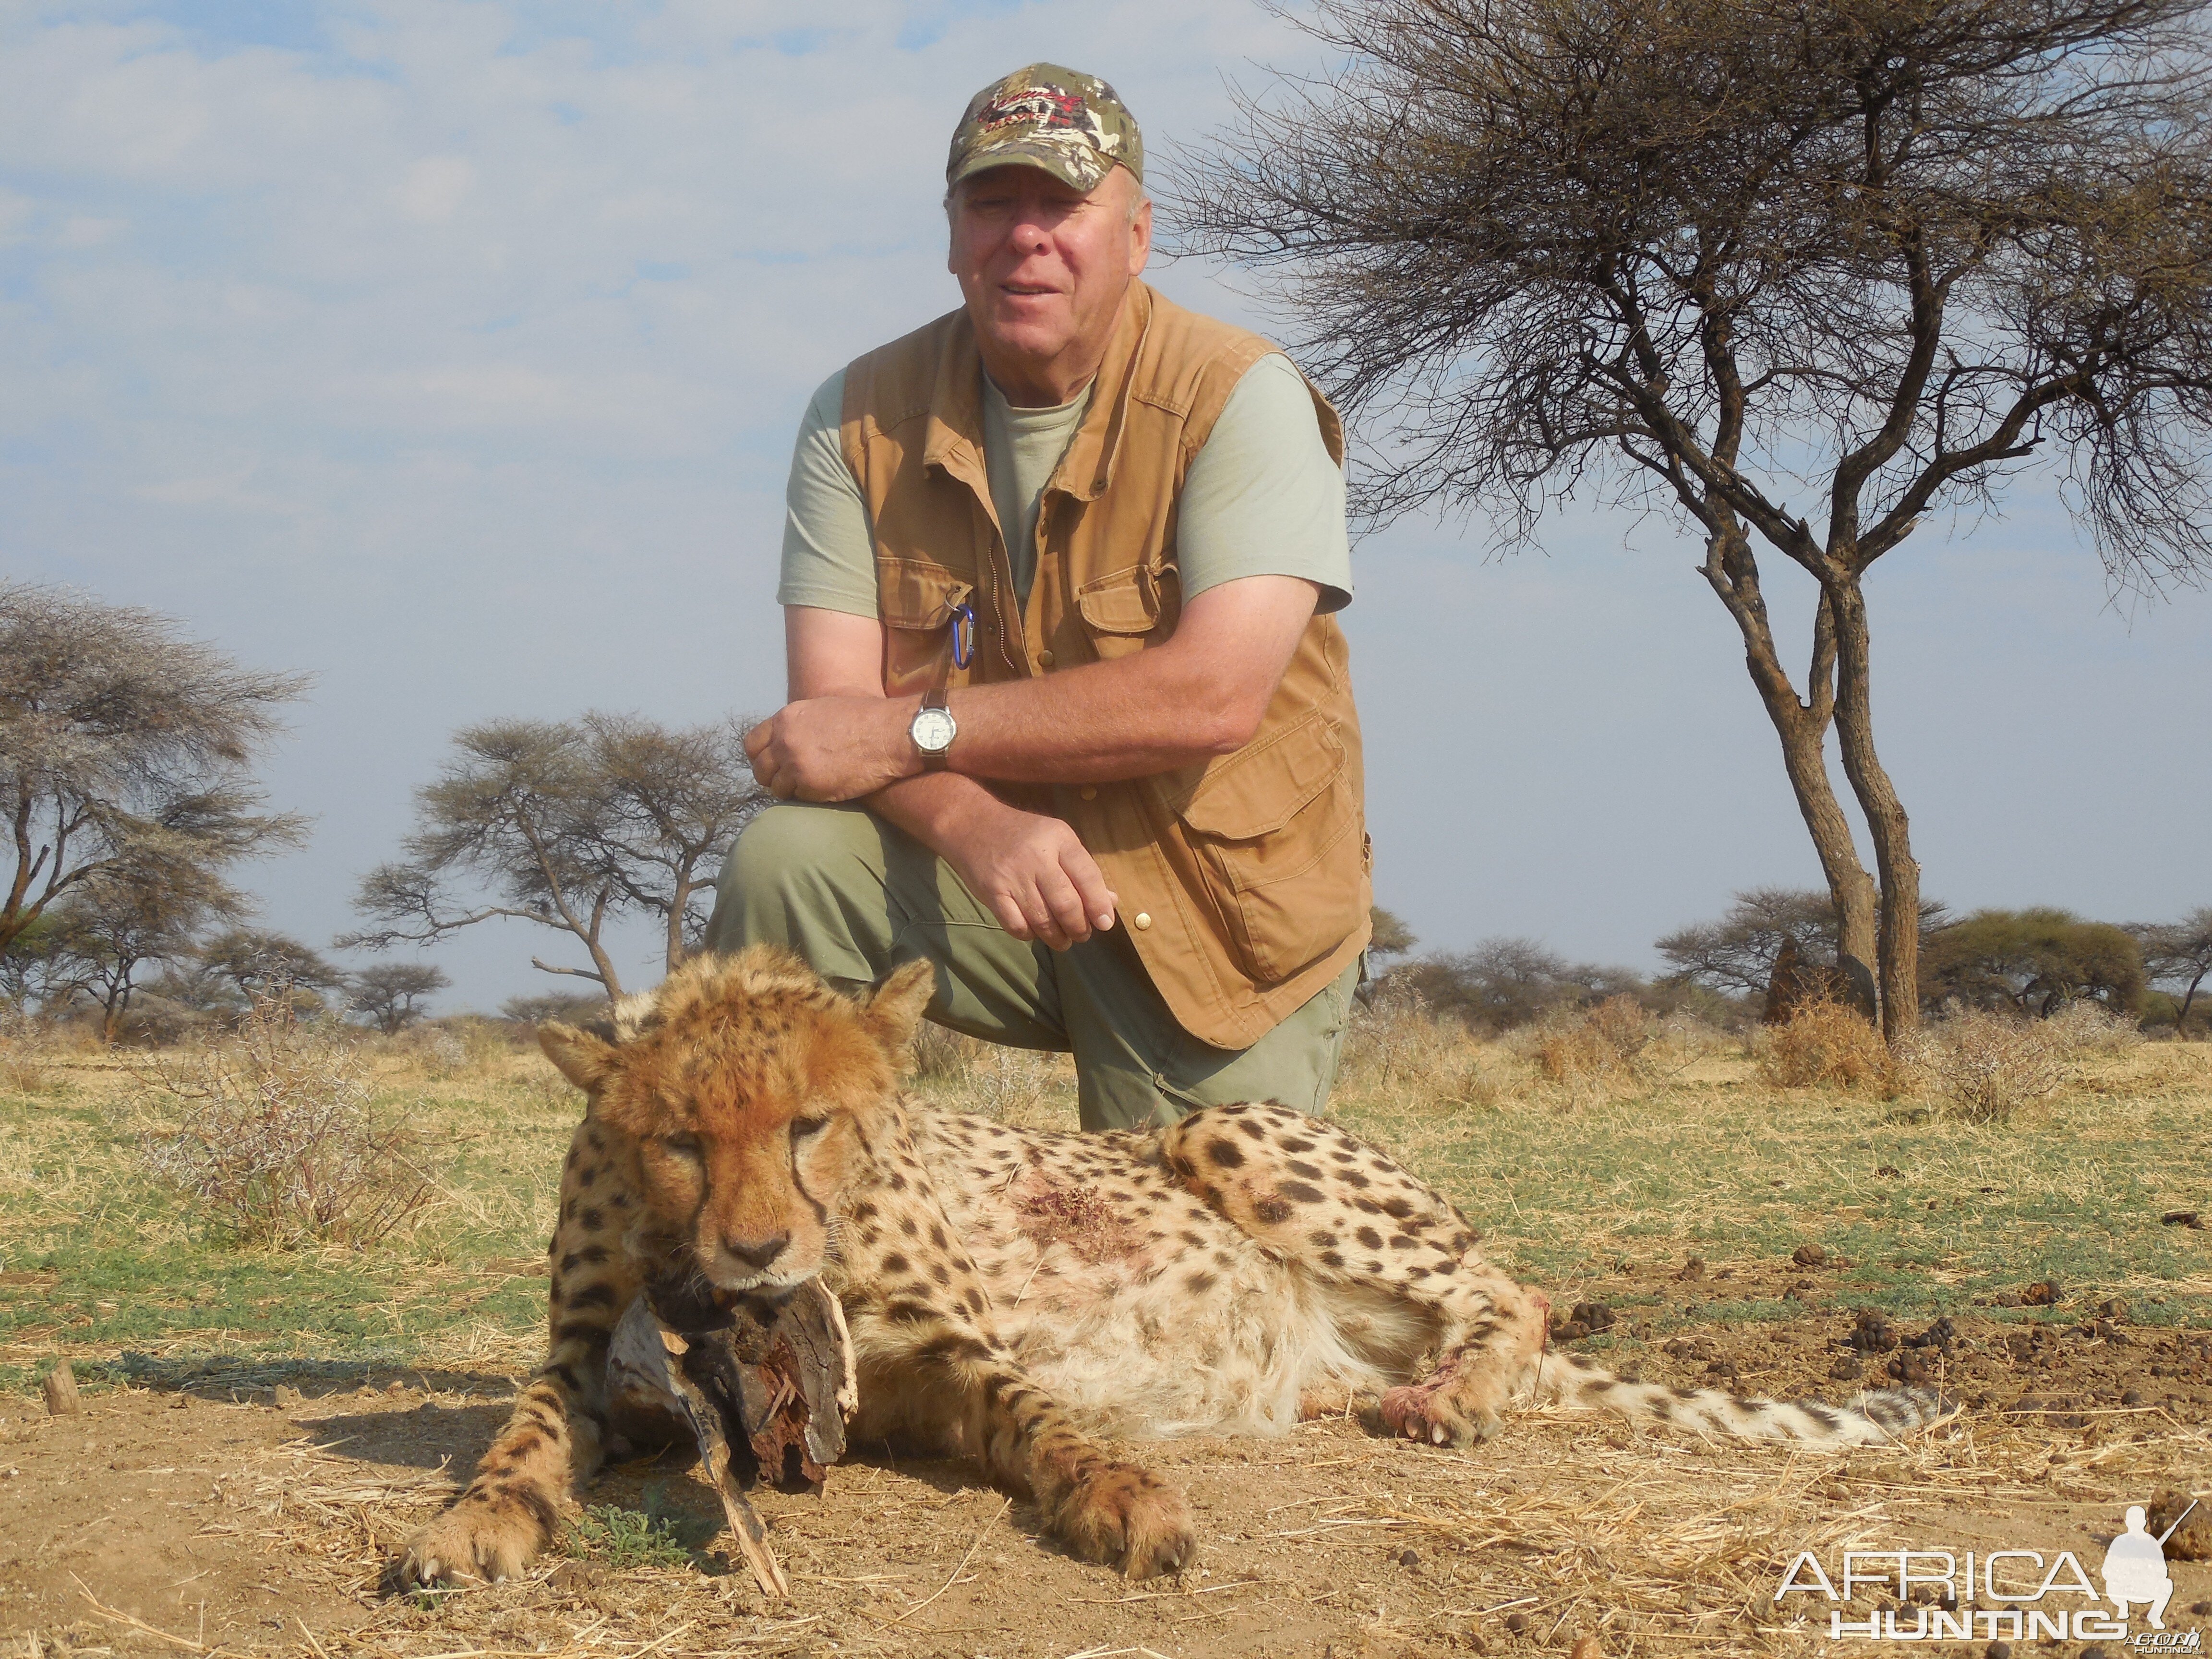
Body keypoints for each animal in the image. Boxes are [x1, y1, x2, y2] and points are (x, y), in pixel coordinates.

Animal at [402, 947, 1955, 1584]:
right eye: (677, 1137)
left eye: (811, 1123)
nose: (759, 1250)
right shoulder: (588, 1358)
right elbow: (523, 1434)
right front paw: (469, 1528)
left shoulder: (955, 1350)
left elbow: (1043, 1411)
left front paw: (1126, 1496)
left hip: (1225, 1128)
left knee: (1507, 1291)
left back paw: (1453, 1396)